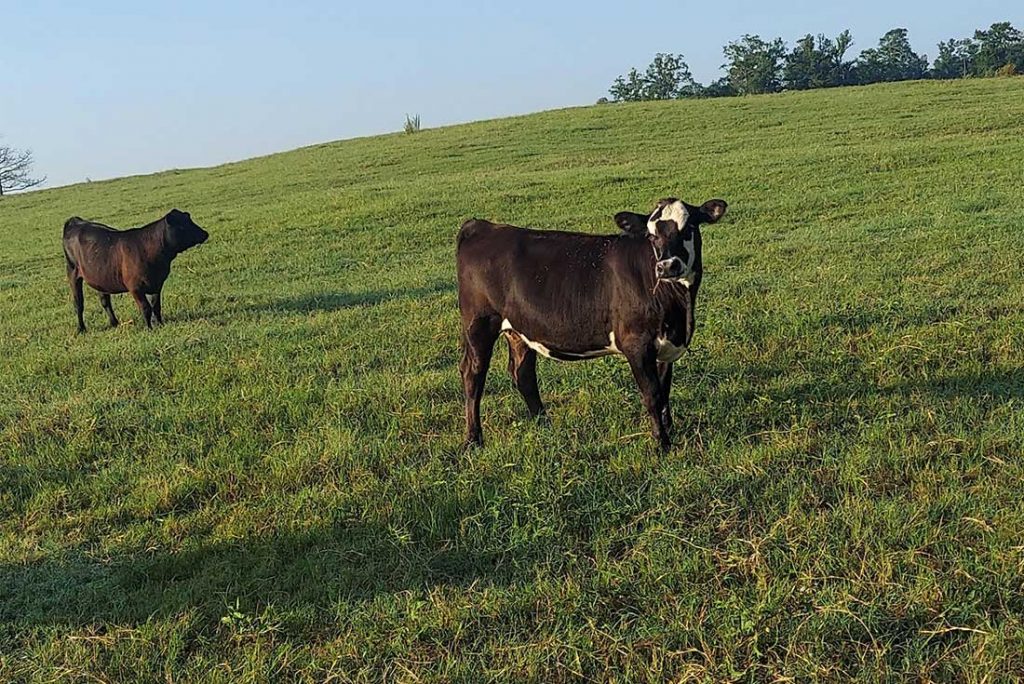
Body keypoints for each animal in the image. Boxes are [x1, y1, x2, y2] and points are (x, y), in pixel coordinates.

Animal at [62, 209, 209, 332]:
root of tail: (76, 221)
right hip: (72, 272)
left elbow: (156, 306)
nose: (205, 234)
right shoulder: (135, 287)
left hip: (99, 277)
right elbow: (146, 308)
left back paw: (114, 323)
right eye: (183, 226)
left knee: (105, 301)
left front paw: (160, 324)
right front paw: (149, 328)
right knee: (78, 303)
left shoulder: (157, 284)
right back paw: (81, 329)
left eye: (189, 220)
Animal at [455, 197, 727, 450]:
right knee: (473, 374)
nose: (667, 266)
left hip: (520, 329)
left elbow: (664, 389)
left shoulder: (665, 345)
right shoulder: (636, 343)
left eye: (689, 227)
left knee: (523, 374)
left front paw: (669, 429)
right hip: (479, 325)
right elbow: (652, 394)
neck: (680, 308)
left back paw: (545, 425)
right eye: (651, 236)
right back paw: (473, 439)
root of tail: (482, 225)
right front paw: (662, 444)